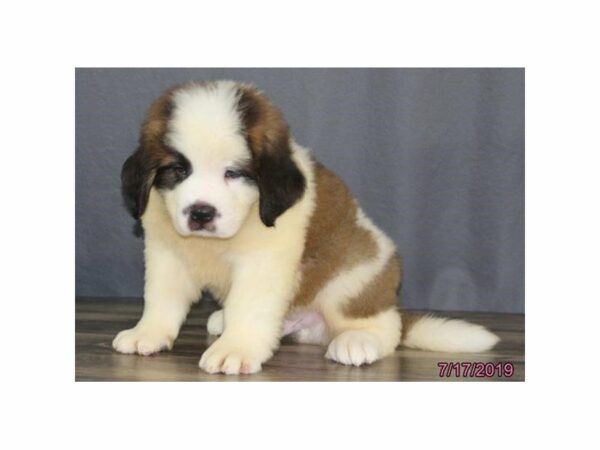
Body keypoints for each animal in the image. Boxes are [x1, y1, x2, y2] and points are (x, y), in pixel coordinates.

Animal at [112, 79, 502, 374]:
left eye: (233, 173)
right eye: (179, 169)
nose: (201, 213)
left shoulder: (263, 264)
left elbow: (249, 305)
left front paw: (236, 349)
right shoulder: (167, 253)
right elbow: (161, 298)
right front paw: (148, 332)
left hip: (353, 278)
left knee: (384, 328)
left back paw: (358, 340)